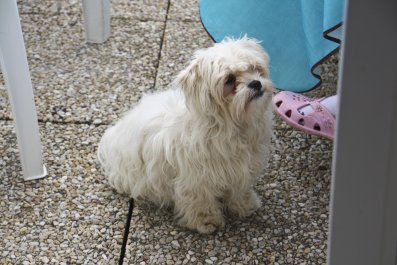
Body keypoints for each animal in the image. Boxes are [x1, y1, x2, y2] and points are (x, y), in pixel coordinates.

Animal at [98, 37, 272, 233]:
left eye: (254, 68)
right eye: (229, 79)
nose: (256, 83)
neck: (231, 125)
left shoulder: (241, 169)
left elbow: (238, 190)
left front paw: (244, 204)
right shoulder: (197, 178)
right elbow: (200, 199)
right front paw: (206, 220)